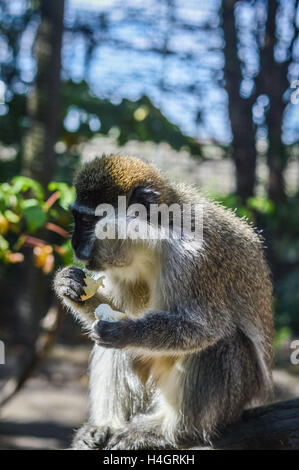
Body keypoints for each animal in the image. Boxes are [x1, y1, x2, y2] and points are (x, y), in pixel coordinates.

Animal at [53, 155, 274, 452]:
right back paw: (107, 425)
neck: (152, 238)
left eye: (88, 220)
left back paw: (173, 432)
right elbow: (113, 311)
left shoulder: (194, 259)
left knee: (221, 342)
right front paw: (68, 285)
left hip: (233, 399)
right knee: (116, 350)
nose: (74, 244)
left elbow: (206, 329)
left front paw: (127, 331)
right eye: (76, 217)